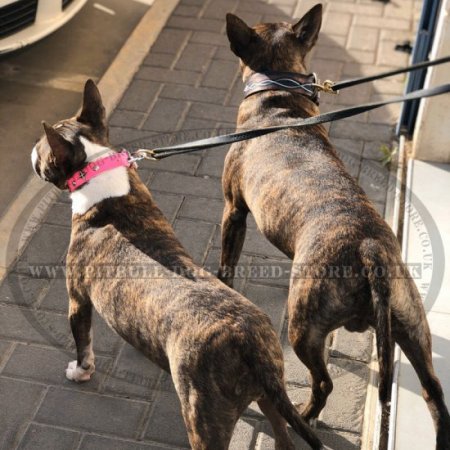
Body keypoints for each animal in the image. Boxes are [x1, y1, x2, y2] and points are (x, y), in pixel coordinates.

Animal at [32, 80, 326, 450]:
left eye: (42, 148)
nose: (31, 152)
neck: (101, 181)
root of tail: (247, 343)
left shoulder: (77, 299)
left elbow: (83, 342)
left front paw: (80, 372)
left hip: (203, 417)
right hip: (270, 397)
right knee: (282, 434)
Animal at [218, 4, 450, 450]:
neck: (279, 94)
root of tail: (368, 248)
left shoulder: (233, 210)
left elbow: (227, 264)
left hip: (300, 326)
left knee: (323, 383)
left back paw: (305, 414)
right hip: (411, 326)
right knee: (434, 393)